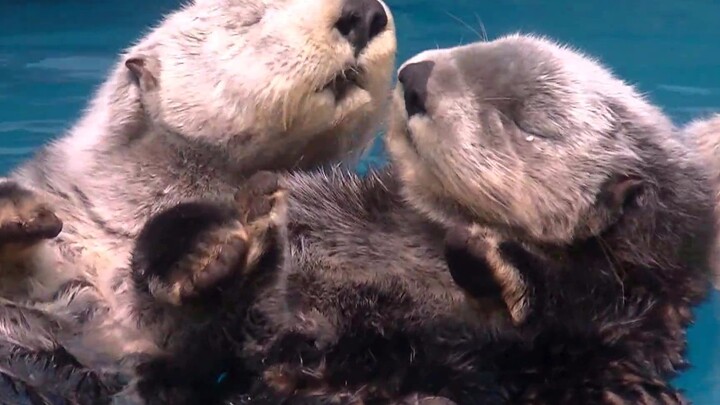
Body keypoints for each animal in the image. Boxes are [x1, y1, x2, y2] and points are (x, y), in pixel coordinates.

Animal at [124, 34, 715, 404]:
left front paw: (497, 263)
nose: (417, 77)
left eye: (528, 123)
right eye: (479, 46)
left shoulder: (607, 331)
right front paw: (210, 245)